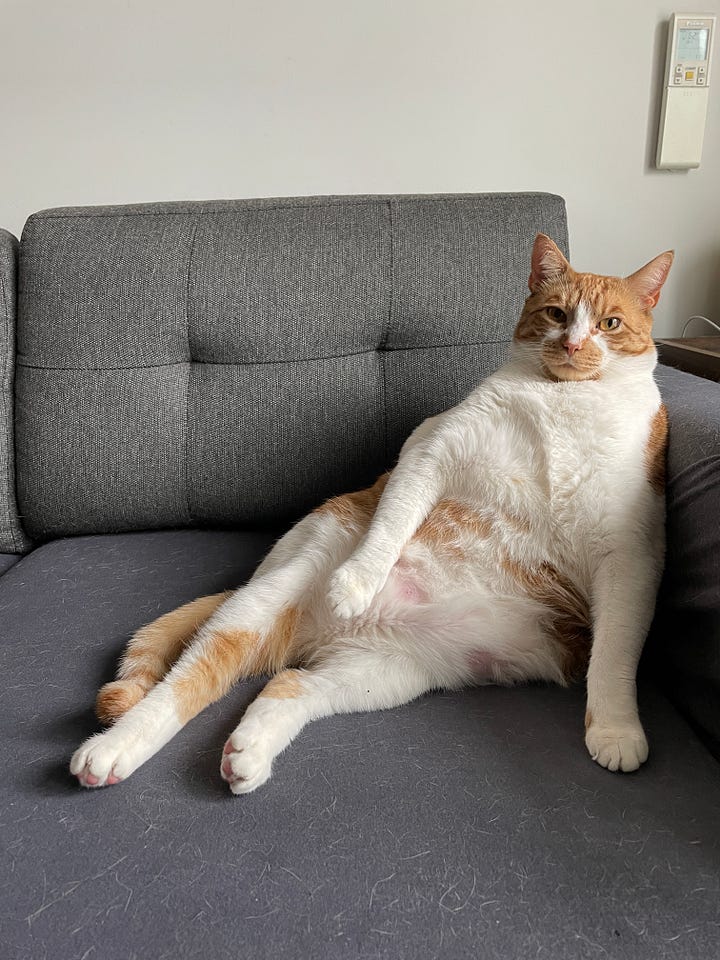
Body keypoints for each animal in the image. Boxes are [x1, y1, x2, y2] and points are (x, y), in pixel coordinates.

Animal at [70, 236, 672, 792]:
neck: (564, 401)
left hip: (381, 674)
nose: (573, 342)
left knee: (285, 686)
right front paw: (356, 584)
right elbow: (391, 524)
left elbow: (614, 654)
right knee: (189, 679)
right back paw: (113, 749)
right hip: (268, 597)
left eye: (610, 323)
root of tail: (309, 630)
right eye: (556, 314)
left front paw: (615, 730)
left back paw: (249, 752)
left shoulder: (633, 552)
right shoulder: (431, 448)